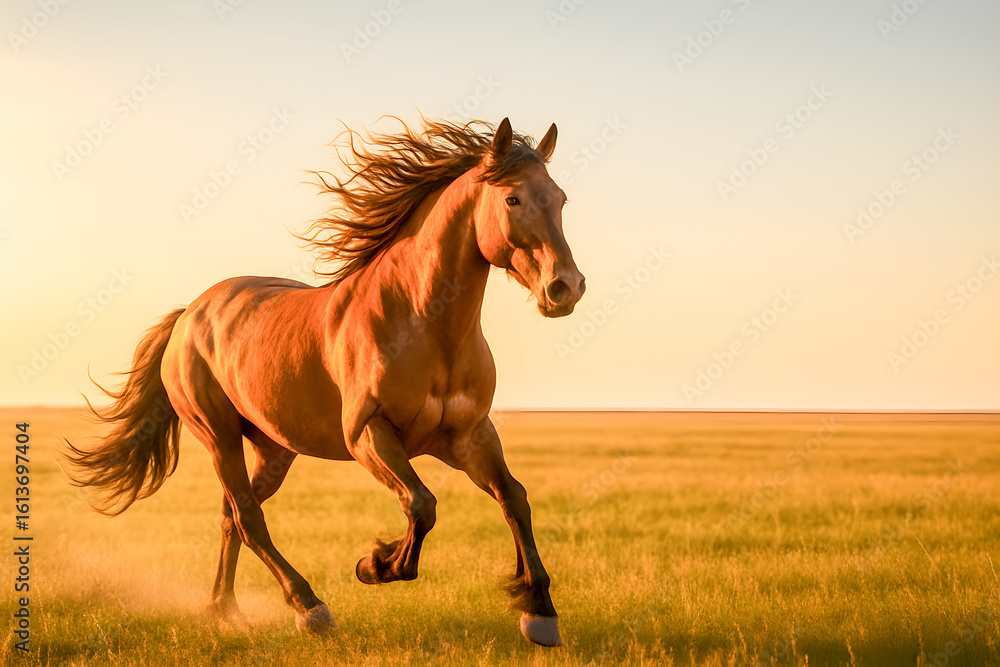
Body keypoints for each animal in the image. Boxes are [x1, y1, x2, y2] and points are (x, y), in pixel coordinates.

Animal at [65, 116, 585, 647]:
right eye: (513, 199)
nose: (565, 287)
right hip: (219, 438)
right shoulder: (368, 435)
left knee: (232, 516)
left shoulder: (468, 436)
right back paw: (308, 606)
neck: (423, 322)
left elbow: (514, 499)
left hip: (274, 449)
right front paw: (374, 565)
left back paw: (224, 609)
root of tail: (188, 314)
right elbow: (421, 504)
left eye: (560, 198)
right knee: (249, 519)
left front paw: (539, 611)